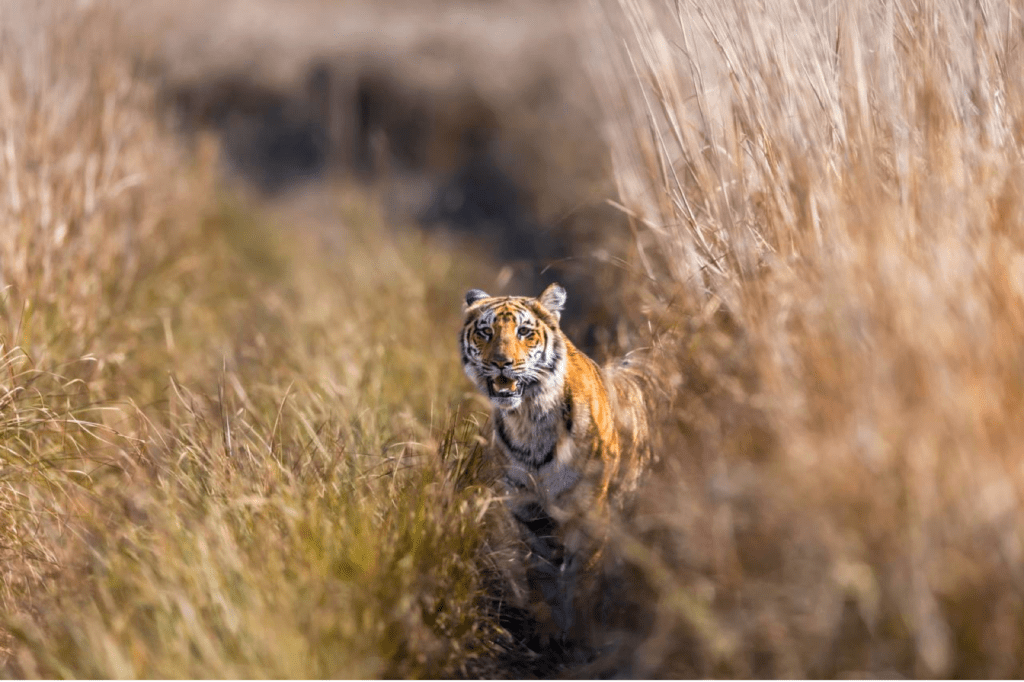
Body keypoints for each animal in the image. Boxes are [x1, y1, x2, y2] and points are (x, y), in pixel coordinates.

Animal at [460, 283, 652, 644]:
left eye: (524, 332)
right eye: (485, 332)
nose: (501, 363)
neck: (527, 418)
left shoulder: (589, 511)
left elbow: (583, 576)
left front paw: (579, 636)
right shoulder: (528, 510)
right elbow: (542, 575)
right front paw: (547, 631)